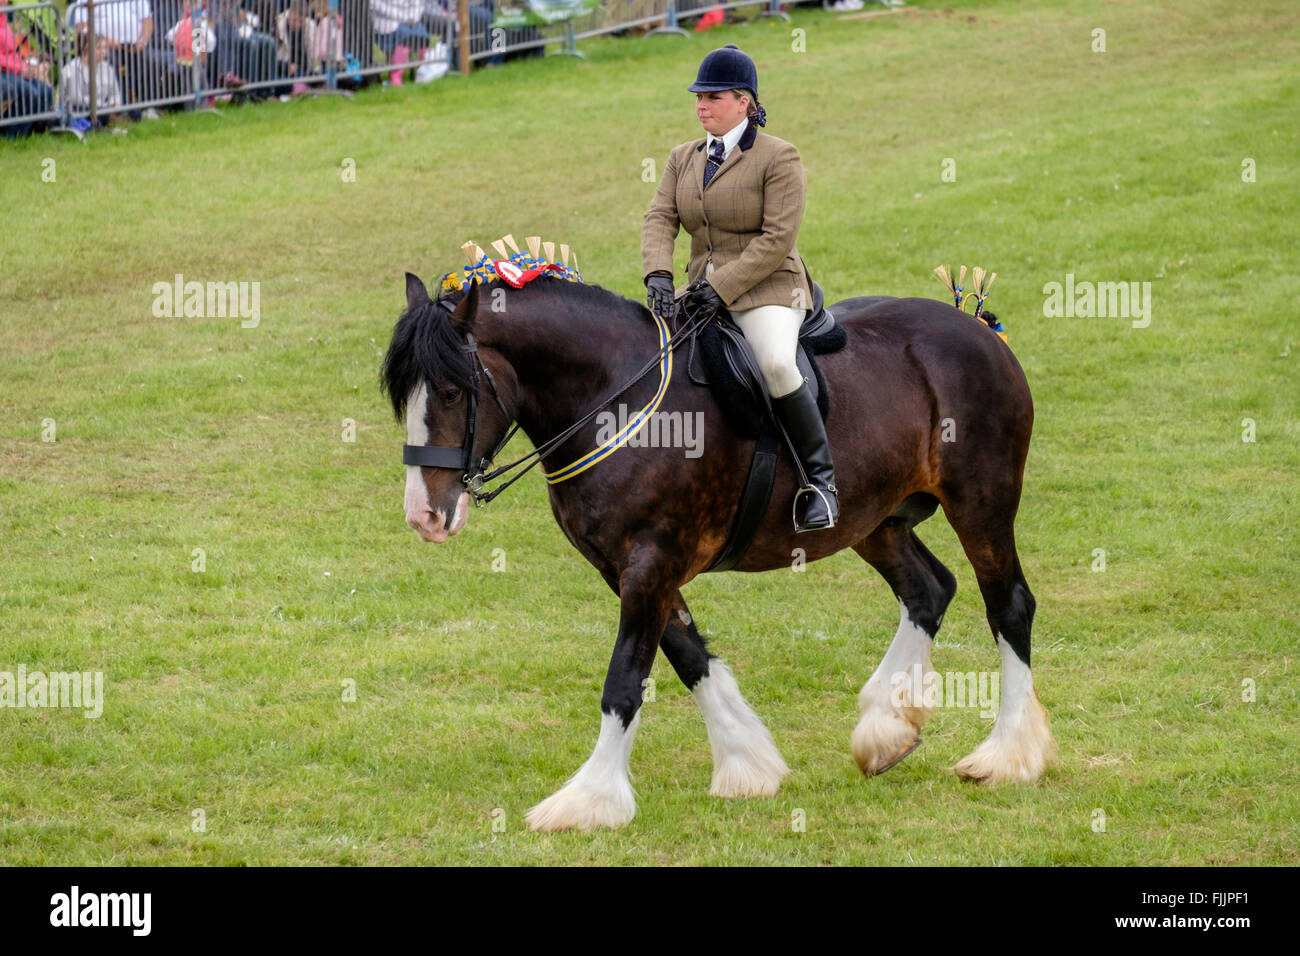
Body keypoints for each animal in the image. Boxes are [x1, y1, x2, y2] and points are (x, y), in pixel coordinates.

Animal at [381, 268, 1057, 832]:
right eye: (404, 396)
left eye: (451, 392)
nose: (424, 515)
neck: (617, 401)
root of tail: (975, 328)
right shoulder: (627, 569)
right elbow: (689, 658)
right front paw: (746, 763)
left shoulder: (650, 565)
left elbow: (625, 681)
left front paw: (588, 800)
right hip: (876, 520)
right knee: (928, 589)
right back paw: (886, 729)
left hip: (982, 503)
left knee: (1008, 606)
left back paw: (1006, 756)